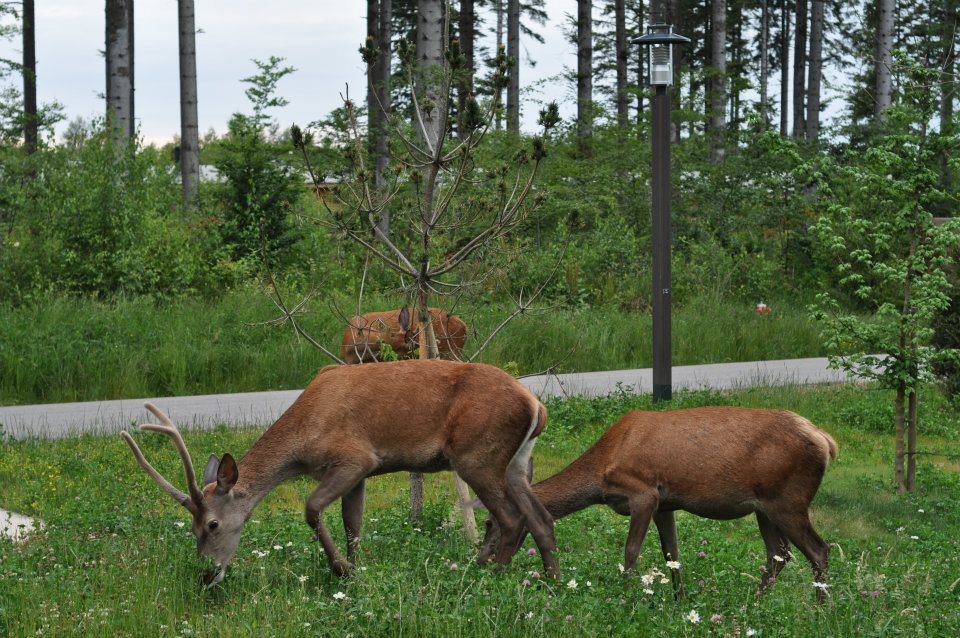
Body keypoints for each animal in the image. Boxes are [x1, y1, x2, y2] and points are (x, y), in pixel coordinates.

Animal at [122, 358, 556, 588]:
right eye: (192, 527)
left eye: (212, 524)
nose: (205, 574)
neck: (303, 441)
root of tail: (536, 404)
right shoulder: (360, 474)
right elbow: (354, 523)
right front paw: (356, 570)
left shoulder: (355, 457)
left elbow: (312, 508)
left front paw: (341, 568)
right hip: (516, 462)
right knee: (541, 516)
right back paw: (549, 579)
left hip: (477, 455)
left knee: (511, 518)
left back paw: (489, 573)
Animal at [476, 408, 836, 604]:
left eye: (490, 523)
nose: (480, 560)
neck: (601, 471)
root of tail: (826, 441)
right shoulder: (666, 504)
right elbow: (671, 554)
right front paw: (679, 601)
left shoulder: (643, 492)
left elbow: (631, 550)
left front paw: (624, 596)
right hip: (765, 507)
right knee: (779, 554)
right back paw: (753, 605)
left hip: (788, 499)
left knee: (818, 549)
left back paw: (821, 609)